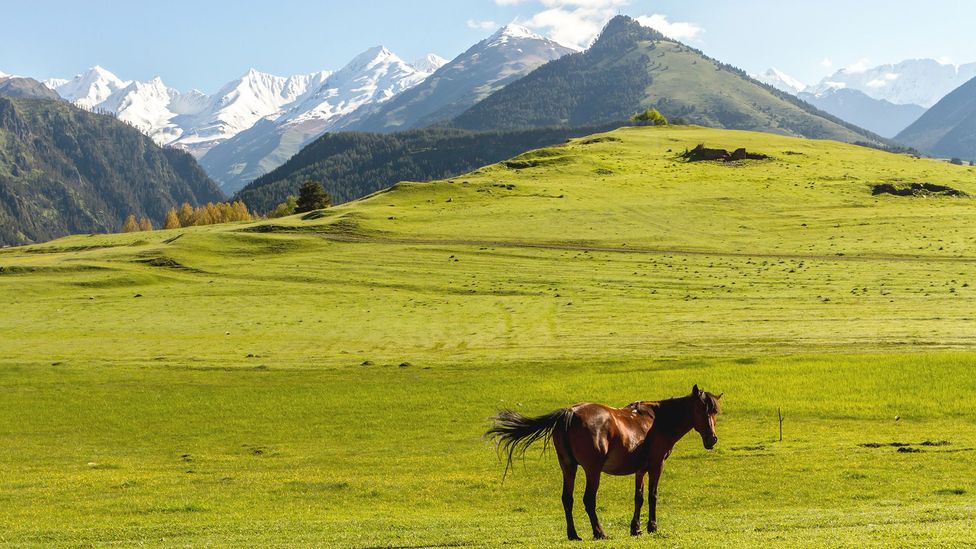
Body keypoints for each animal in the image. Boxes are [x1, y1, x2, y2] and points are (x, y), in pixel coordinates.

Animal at [484, 386, 720, 540]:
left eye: (715, 412)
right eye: (701, 410)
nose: (712, 439)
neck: (656, 421)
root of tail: (570, 412)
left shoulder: (640, 470)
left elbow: (639, 497)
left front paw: (636, 528)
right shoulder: (656, 465)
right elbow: (652, 496)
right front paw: (652, 526)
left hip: (568, 467)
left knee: (567, 499)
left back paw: (573, 534)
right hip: (592, 470)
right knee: (588, 500)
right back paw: (599, 532)